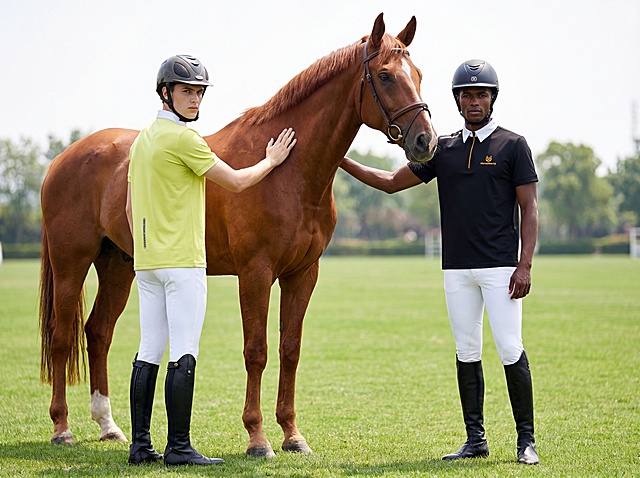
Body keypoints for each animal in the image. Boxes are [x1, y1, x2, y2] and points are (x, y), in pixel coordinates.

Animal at [39, 13, 437, 457]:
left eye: (418, 74)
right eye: (384, 75)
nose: (426, 141)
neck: (289, 172)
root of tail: (64, 157)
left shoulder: (302, 274)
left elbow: (290, 349)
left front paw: (292, 434)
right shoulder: (255, 273)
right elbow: (256, 351)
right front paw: (258, 437)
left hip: (118, 266)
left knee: (98, 333)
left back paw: (108, 425)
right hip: (72, 263)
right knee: (61, 335)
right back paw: (62, 427)